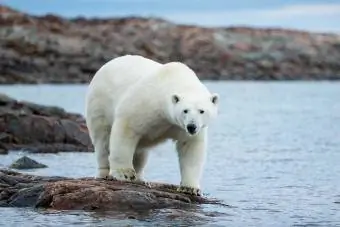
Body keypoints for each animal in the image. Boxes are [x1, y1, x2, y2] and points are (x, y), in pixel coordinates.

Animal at [84, 55, 218, 195]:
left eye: (202, 111)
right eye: (185, 110)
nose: (192, 126)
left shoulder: (182, 127)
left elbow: (190, 147)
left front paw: (190, 188)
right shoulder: (145, 102)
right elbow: (126, 129)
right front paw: (124, 174)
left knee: (141, 151)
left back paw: (141, 179)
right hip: (99, 103)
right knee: (103, 139)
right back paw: (105, 173)